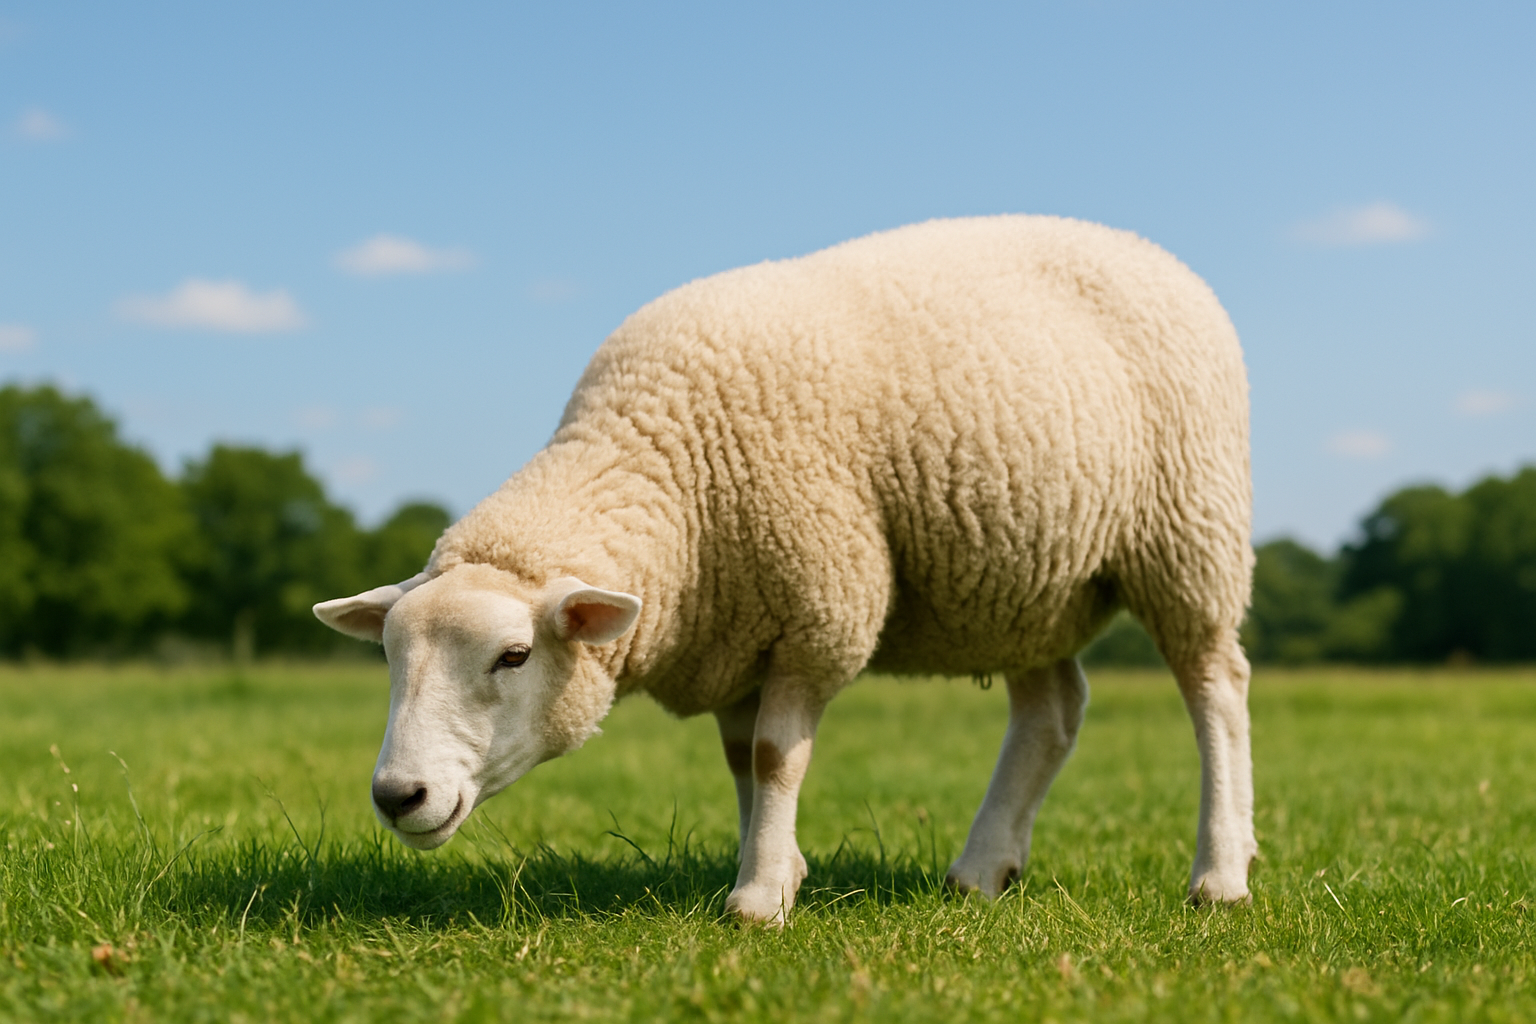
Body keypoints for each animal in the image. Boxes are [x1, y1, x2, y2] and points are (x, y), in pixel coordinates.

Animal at [314, 214, 1256, 925]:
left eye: (513, 657)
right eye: (390, 659)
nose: (397, 796)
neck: (667, 473)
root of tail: (1144, 249)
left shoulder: (818, 609)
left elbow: (774, 756)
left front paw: (759, 897)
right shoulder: (736, 633)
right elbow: (742, 763)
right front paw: (773, 861)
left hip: (1188, 533)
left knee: (1216, 689)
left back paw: (1221, 872)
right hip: (1025, 584)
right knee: (1053, 712)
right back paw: (982, 870)